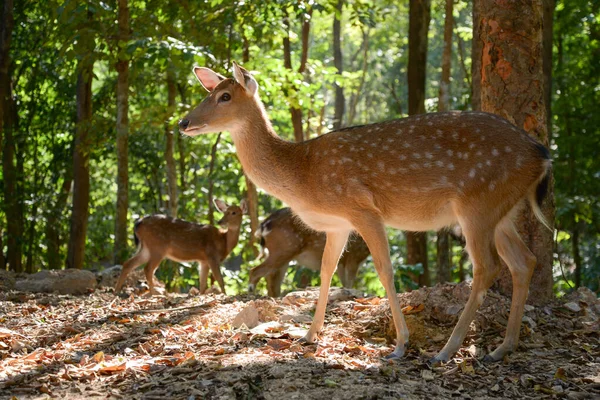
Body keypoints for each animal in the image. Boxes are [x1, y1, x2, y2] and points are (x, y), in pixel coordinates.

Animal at [113, 200, 247, 296]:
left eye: (234, 212)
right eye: (225, 212)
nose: (220, 221)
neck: (224, 242)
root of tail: (138, 223)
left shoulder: (203, 260)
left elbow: (203, 283)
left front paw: (201, 295)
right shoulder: (212, 256)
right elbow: (220, 279)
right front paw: (224, 295)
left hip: (146, 248)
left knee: (128, 263)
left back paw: (116, 291)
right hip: (157, 247)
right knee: (148, 268)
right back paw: (154, 293)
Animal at [178, 62, 552, 362]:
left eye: (225, 96)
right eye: (212, 92)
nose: (183, 122)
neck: (302, 174)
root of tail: (542, 154)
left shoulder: (362, 209)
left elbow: (385, 271)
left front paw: (400, 345)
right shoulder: (337, 225)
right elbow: (326, 271)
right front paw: (309, 335)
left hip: (478, 203)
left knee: (487, 267)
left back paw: (446, 350)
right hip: (502, 210)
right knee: (524, 261)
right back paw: (502, 348)